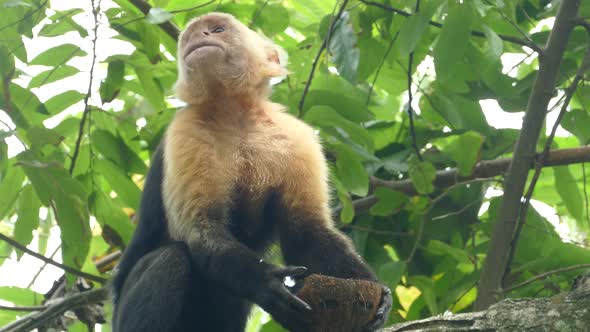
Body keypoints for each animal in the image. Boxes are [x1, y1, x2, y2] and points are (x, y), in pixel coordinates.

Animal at [112, 11, 394, 330]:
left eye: (217, 30)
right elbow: (200, 226)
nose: (200, 37)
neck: (234, 112)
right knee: (170, 258)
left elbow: (307, 234)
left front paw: (379, 293)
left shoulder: (297, 137)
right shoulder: (186, 129)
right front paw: (267, 282)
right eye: (189, 38)